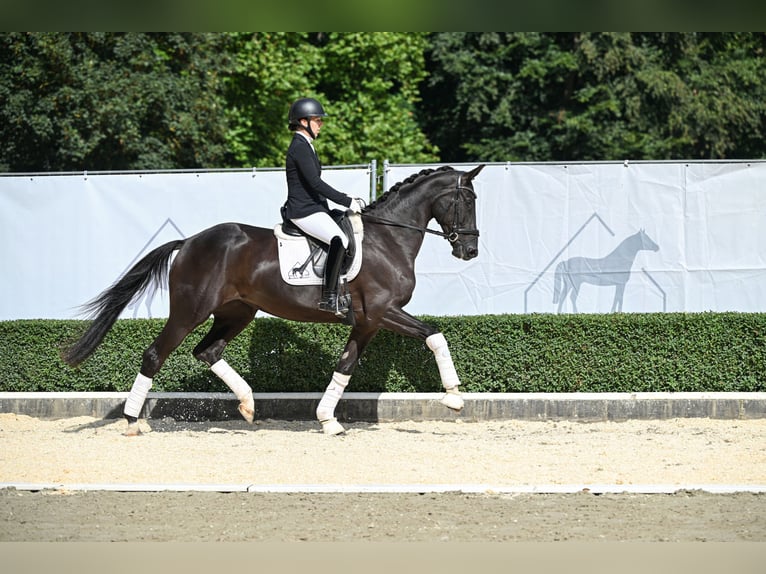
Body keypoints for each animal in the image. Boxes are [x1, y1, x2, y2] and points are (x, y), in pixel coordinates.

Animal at [62, 164, 485, 436]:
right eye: (466, 201)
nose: (469, 251)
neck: (388, 239)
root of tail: (189, 242)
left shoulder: (368, 322)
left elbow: (345, 367)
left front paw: (328, 420)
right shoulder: (384, 312)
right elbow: (435, 335)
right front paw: (454, 398)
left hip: (237, 312)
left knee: (207, 351)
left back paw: (248, 405)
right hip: (190, 311)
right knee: (155, 354)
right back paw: (133, 422)